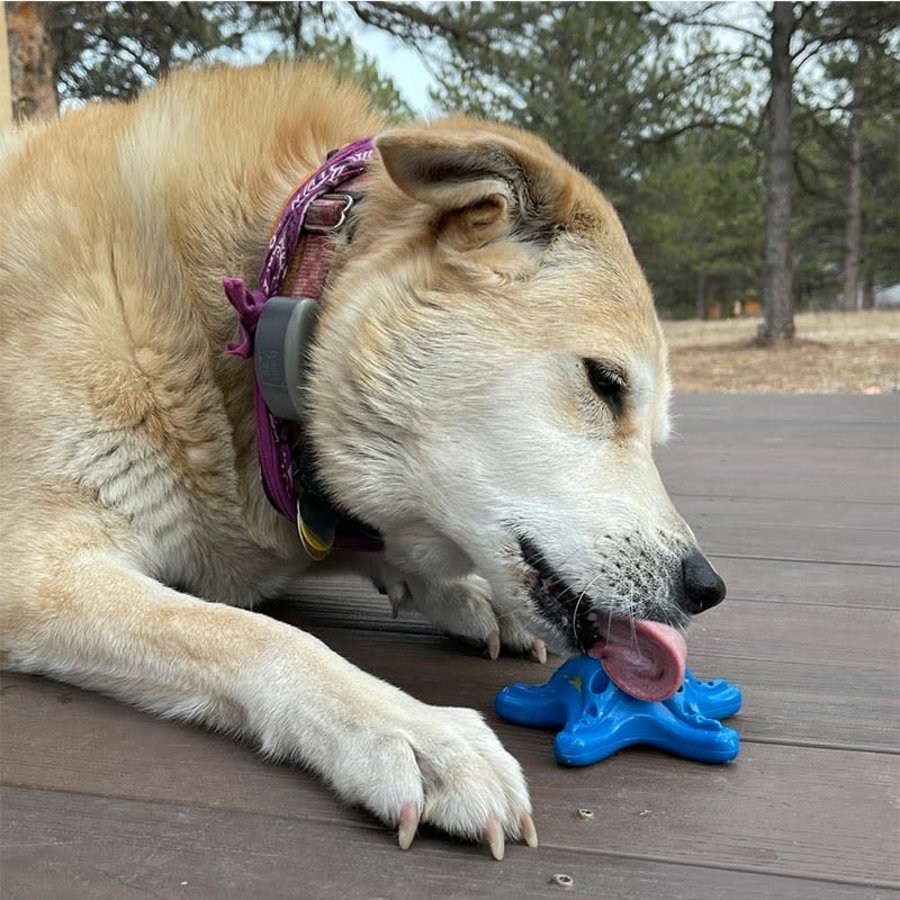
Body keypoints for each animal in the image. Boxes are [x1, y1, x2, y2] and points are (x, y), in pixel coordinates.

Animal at [0, 63, 724, 856]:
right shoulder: (34, 574)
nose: (705, 588)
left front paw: (466, 595)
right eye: (605, 383)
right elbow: (264, 636)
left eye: (658, 434)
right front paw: (414, 732)